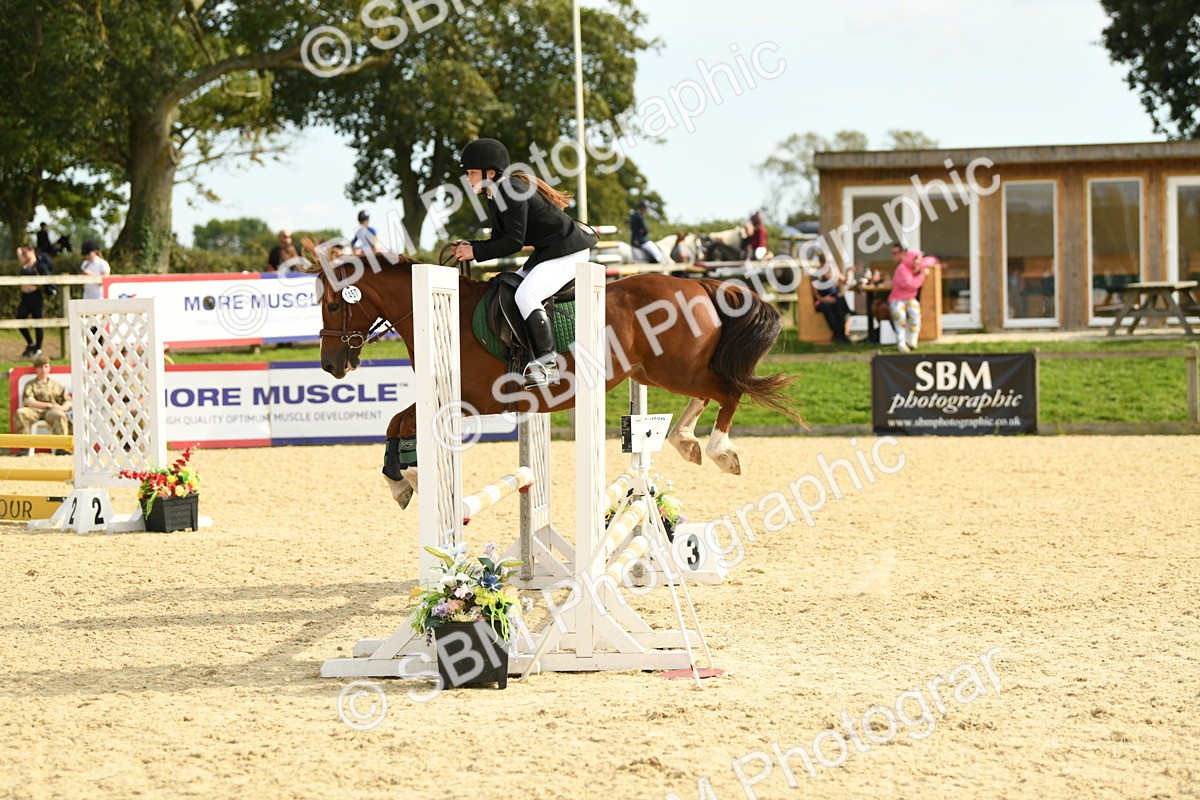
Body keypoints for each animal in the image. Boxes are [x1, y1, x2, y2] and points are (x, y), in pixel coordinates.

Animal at [304, 251, 805, 508]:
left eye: (332, 304)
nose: (331, 366)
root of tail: (698, 284)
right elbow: (394, 423)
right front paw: (400, 480)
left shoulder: (469, 400)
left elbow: (402, 423)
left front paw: (405, 478)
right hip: (661, 370)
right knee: (710, 393)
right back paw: (686, 441)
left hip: (676, 369)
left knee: (728, 390)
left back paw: (719, 451)